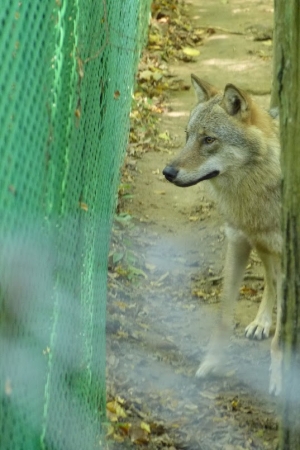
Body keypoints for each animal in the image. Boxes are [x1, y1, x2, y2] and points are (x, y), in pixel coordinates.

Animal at [163, 75, 282, 396]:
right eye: (187, 135)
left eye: (209, 140)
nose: (167, 172)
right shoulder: (238, 241)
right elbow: (223, 317)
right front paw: (211, 363)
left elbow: (283, 337)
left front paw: (281, 379)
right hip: (263, 246)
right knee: (271, 280)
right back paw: (261, 322)